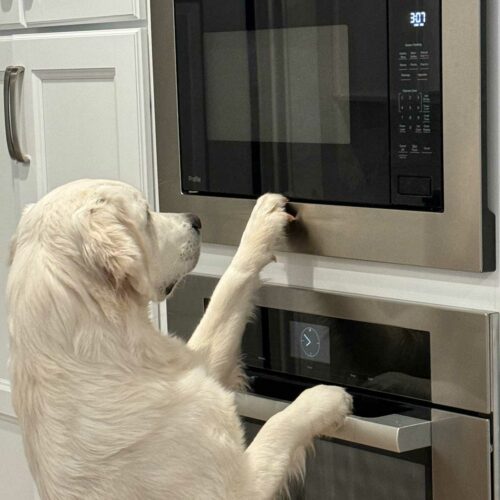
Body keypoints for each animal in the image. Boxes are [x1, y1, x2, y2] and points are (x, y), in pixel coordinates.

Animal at [6, 181, 352, 500]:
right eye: (146, 214)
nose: (196, 219)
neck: (99, 356)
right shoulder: (234, 489)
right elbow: (278, 425)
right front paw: (324, 399)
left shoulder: (194, 362)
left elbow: (229, 289)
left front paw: (262, 222)